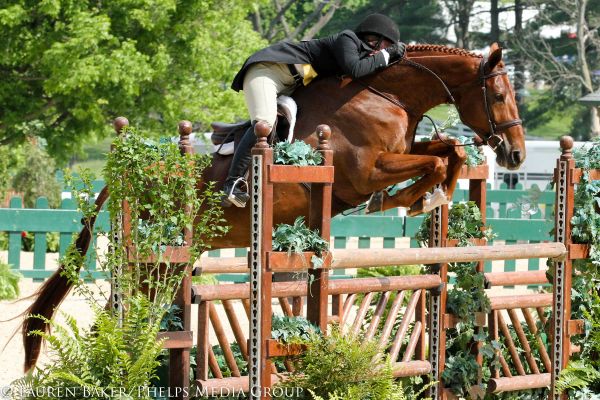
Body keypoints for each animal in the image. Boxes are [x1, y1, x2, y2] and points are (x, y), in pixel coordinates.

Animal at [22, 42, 524, 370]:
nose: (515, 155)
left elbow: (447, 152)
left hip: (169, 262)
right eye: (499, 95)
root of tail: (128, 166)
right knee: (118, 314)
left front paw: (429, 195)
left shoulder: (400, 151)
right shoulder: (364, 172)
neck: (385, 95)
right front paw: (408, 199)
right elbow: (432, 162)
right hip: (155, 258)